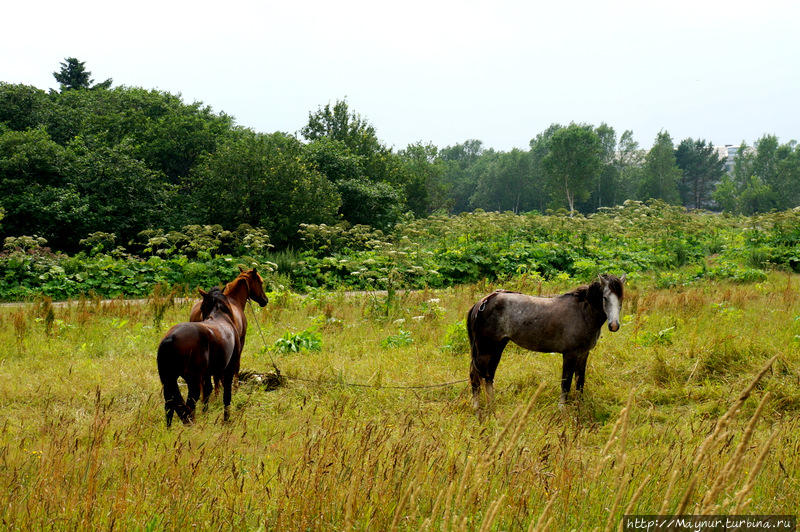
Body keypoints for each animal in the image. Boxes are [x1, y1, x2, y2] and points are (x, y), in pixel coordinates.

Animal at [157, 288, 241, 426]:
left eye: (202, 306)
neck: (220, 315)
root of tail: (171, 338)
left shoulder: (206, 374)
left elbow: (207, 392)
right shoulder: (228, 370)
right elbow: (226, 396)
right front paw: (226, 420)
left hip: (169, 380)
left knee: (169, 405)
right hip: (193, 381)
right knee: (190, 404)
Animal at [466, 274, 628, 412]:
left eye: (621, 298)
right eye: (605, 298)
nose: (614, 325)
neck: (582, 312)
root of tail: (483, 302)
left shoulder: (583, 354)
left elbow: (580, 381)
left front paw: (579, 406)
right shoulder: (569, 354)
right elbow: (566, 382)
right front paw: (562, 409)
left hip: (497, 347)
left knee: (489, 375)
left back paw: (492, 405)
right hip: (485, 350)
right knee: (475, 375)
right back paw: (477, 407)